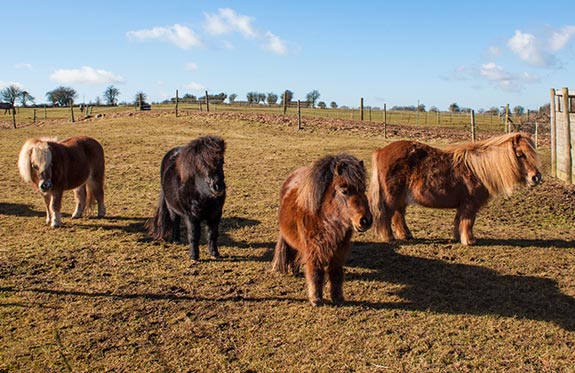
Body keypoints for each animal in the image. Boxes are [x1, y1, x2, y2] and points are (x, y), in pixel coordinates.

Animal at [272, 153, 374, 306]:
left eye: (364, 188)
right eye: (344, 190)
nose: (366, 220)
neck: (326, 219)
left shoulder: (339, 250)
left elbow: (336, 273)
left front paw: (337, 298)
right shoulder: (313, 250)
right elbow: (316, 273)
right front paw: (316, 299)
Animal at [372, 132, 544, 246]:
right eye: (520, 154)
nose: (536, 177)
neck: (478, 169)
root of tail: (380, 151)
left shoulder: (463, 205)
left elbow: (459, 221)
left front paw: (457, 238)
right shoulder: (470, 204)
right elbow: (468, 222)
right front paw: (469, 241)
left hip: (401, 198)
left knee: (398, 215)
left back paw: (406, 235)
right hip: (392, 196)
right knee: (387, 215)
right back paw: (388, 237)